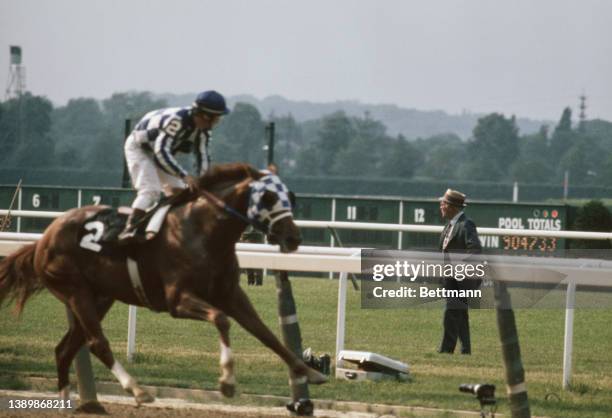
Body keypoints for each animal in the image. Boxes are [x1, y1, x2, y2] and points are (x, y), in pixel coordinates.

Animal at [0, 162, 326, 404]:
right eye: (269, 198)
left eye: (290, 196)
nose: (293, 237)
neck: (203, 231)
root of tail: (44, 238)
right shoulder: (177, 300)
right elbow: (221, 320)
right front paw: (227, 381)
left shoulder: (231, 294)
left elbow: (264, 332)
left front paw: (309, 372)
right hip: (75, 291)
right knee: (96, 343)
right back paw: (137, 390)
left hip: (100, 297)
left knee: (65, 349)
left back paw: (79, 406)